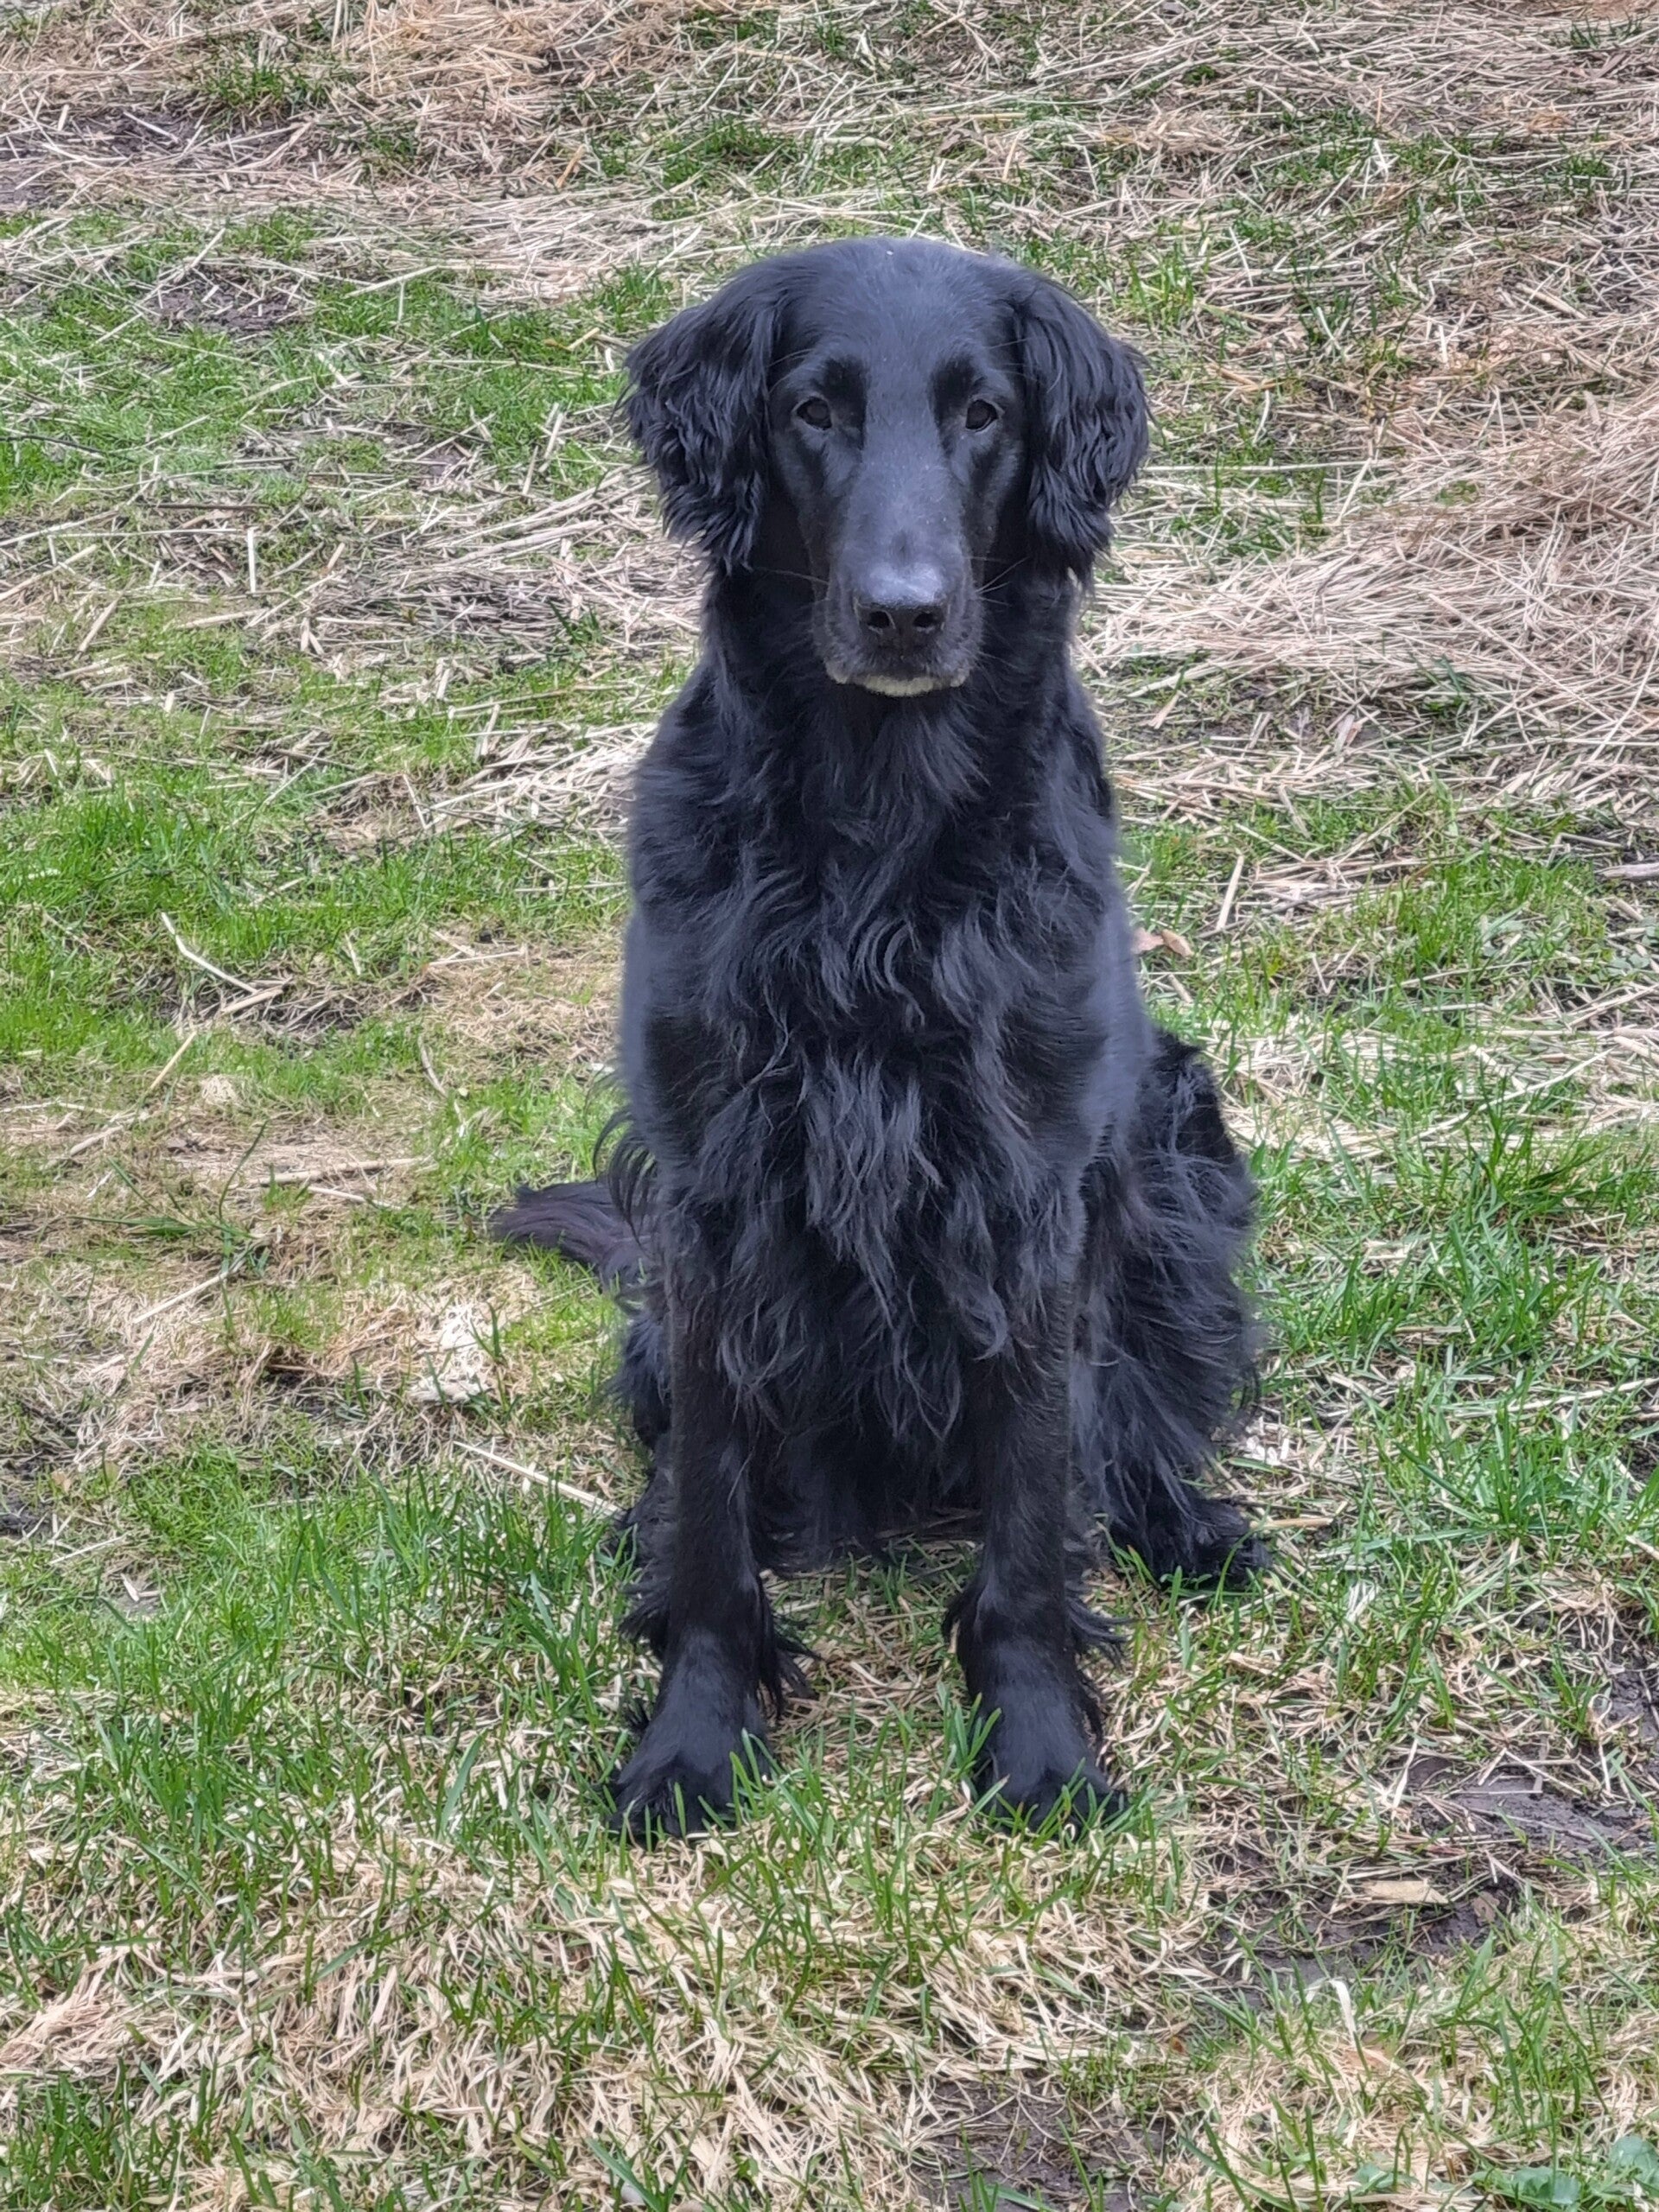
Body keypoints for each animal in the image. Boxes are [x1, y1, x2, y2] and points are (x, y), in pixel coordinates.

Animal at [497, 237, 1264, 1836]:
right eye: (813, 411)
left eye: (983, 414)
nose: (904, 613)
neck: (879, 831)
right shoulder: (713, 1199)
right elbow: (715, 1530)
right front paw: (694, 1736)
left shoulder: (1031, 1193)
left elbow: (1035, 1518)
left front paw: (1042, 1746)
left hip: (1178, 1153)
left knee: (1136, 1423)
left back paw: (1185, 1524)